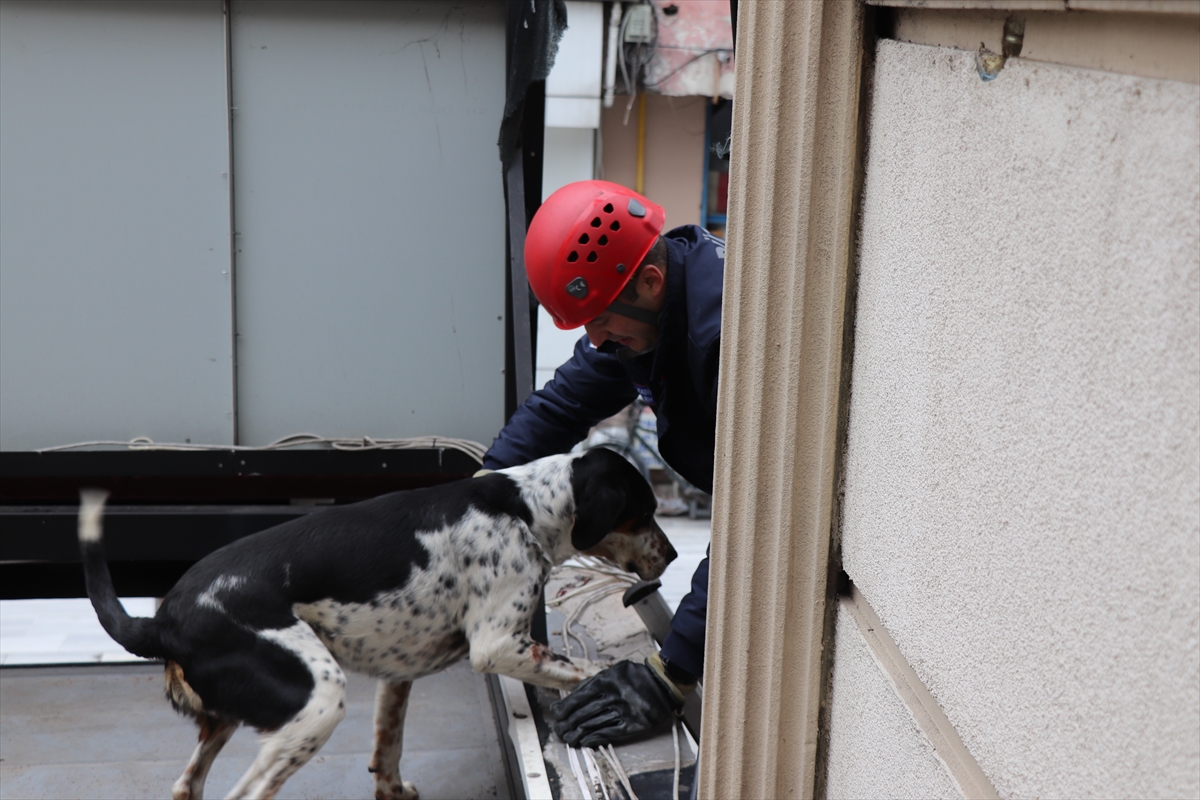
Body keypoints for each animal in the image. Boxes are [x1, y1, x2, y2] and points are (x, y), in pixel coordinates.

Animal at [77, 450, 676, 800]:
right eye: (644, 512)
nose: (672, 556)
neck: (523, 508)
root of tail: (162, 619)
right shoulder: (498, 645)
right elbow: (587, 667)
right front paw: (631, 689)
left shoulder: (399, 672)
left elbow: (388, 747)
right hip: (316, 701)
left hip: (227, 722)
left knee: (185, 787)